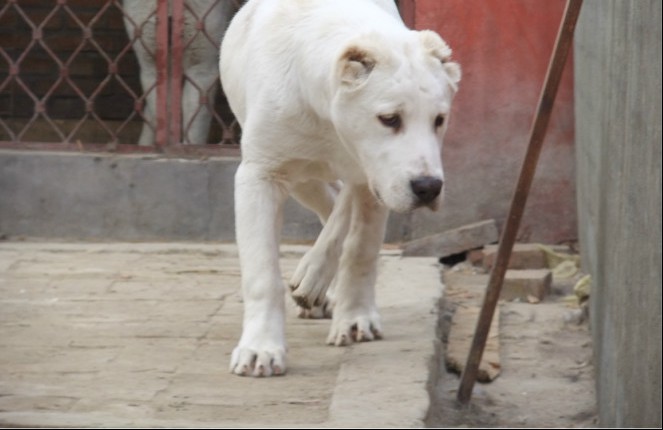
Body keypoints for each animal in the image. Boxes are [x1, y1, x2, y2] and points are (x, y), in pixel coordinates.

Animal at [220, 0, 460, 376]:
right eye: (389, 119)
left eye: (439, 120)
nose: (428, 188)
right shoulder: (260, 174)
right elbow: (263, 274)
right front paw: (261, 348)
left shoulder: (374, 177)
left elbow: (360, 248)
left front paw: (355, 317)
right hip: (306, 180)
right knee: (329, 204)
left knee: (338, 212)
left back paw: (317, 280)